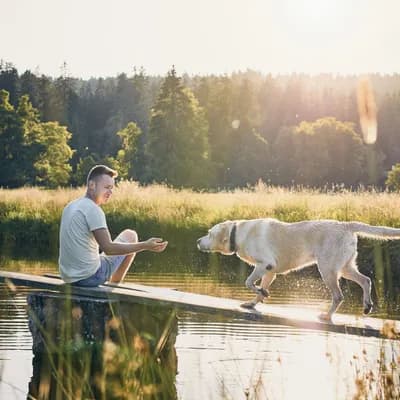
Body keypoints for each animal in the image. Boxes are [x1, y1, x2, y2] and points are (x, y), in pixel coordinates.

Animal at [196, 219, 400, 322]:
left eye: (209, 233)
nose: (197, 241)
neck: (237, 234)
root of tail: (345, 224)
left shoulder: (265, 264)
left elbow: (248, 282)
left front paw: (261, 293)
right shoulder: (270, 271)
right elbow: (259, 289)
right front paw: (253, 302)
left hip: (327, 269)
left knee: (338, 295)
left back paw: (327, 315)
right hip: (345, 267)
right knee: (366, 280)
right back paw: (367, 306)